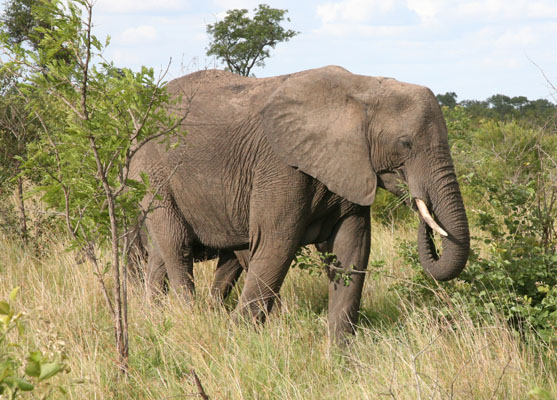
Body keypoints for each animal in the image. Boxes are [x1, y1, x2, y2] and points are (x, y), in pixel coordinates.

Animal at [131, 65, 470, 338]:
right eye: (405, 143)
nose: (419, 200)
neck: (363, 90)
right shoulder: (280, 166)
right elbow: (274, 245)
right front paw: (237, 340)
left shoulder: (347, 168)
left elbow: (352, 249)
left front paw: (339, 356)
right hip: (152, 172)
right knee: (178, 246)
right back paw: (188, 318)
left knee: (165, 255)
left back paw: (156, 316)